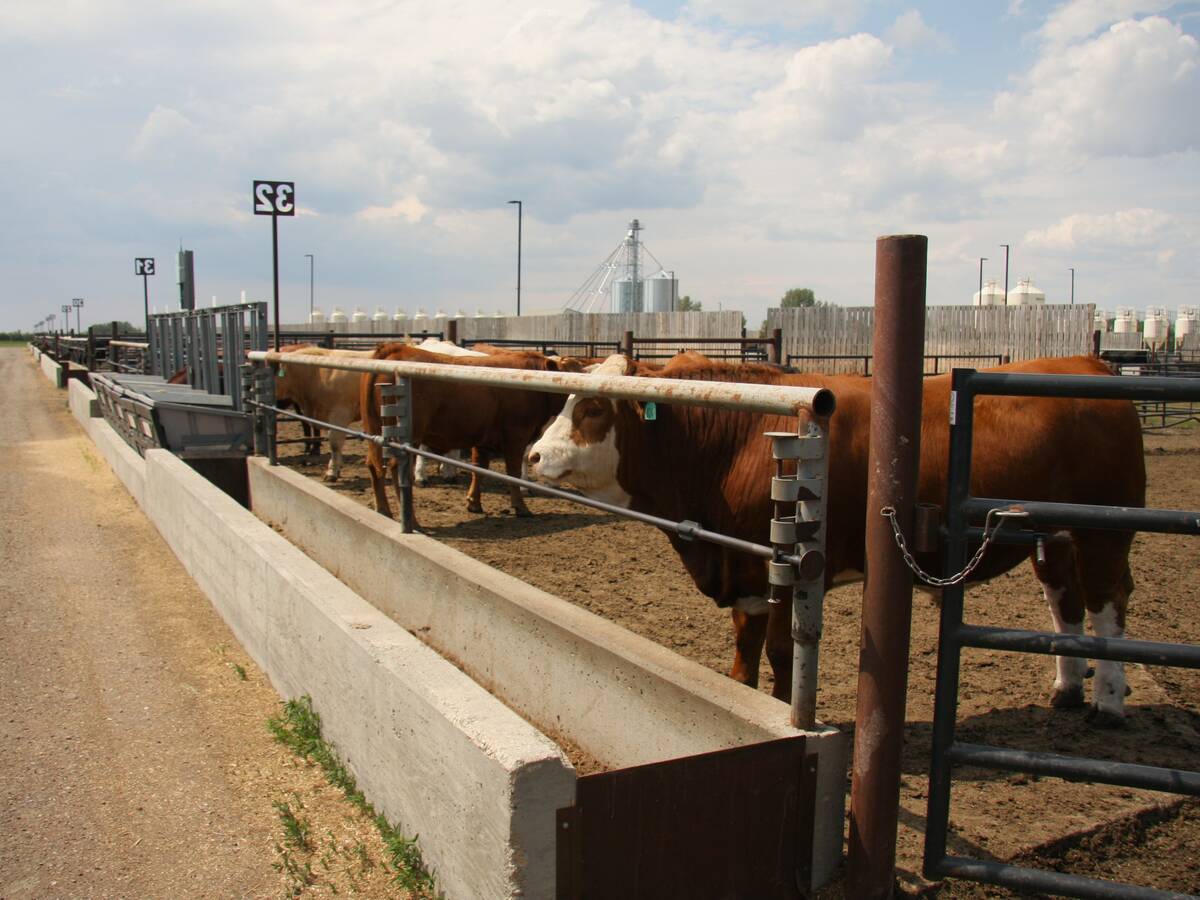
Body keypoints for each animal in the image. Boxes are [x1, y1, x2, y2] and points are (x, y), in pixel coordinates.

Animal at [360, 343, 578, 520]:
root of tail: (395, 349)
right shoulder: (516, 435)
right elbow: (513, 472)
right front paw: (521, 507)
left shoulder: (483, 439)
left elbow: (479, 469)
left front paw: (473, 502)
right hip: (408, 436)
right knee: (396, 467)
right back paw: (412, 520)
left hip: (375, 431)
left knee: (374, 465)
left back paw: (383, 511)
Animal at [527, 353, 1146, 725]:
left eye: (594, 406)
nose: (533, 455)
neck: (731, 435)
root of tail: (1088, 363)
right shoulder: (745, 568)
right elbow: (745, 648)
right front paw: (742, 695)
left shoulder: (787, 566)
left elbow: (781, 650)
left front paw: (780, 709)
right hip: (1054, 538)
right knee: (1064, 599)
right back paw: (1067, 688)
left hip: (1103, 533)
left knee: (1107, 603)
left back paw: (1108, 701)